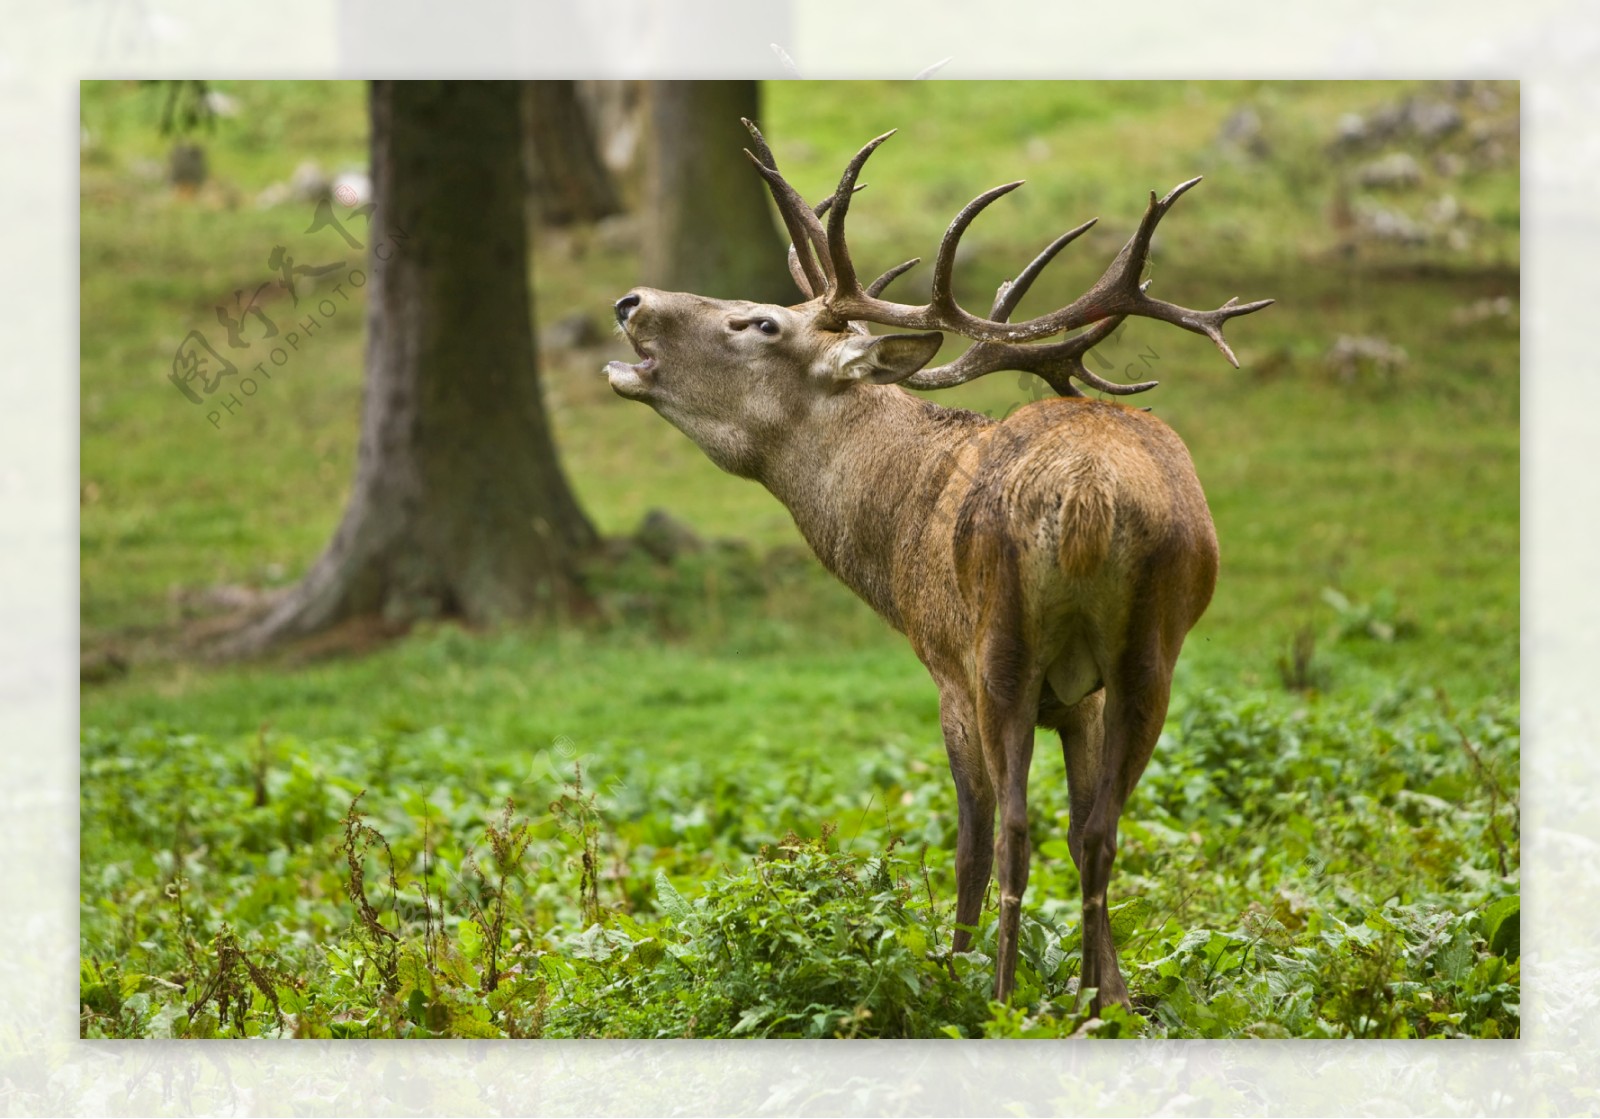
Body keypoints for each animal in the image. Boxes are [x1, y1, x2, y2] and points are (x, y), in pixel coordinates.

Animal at [604, 122, 1267, 1018]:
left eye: (761, 322)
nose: (631, 302)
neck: (895, 536)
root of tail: (1090, 495)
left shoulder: (946, 667)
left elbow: (972, 839)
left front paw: (953, 972)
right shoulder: (1082, 699)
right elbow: (1081, 825)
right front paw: (1114, 993)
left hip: (1000, 645)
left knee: (1012, 829)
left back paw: (999, 998)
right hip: (1150, 650)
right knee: (1099, 829)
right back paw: (1080, 1005)